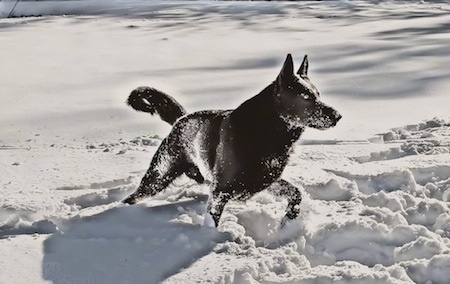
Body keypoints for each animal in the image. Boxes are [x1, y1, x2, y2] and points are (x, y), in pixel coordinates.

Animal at [123, 53, 342, 226]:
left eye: (318, 94)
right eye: (306, 97)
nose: (338, 115)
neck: (266, 132)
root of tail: (181, 119)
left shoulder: (265, 180)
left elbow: (296, 193)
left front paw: (289, 219)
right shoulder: (220, 192)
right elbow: (212, 220)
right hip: (159, 176)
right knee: (134, 196)